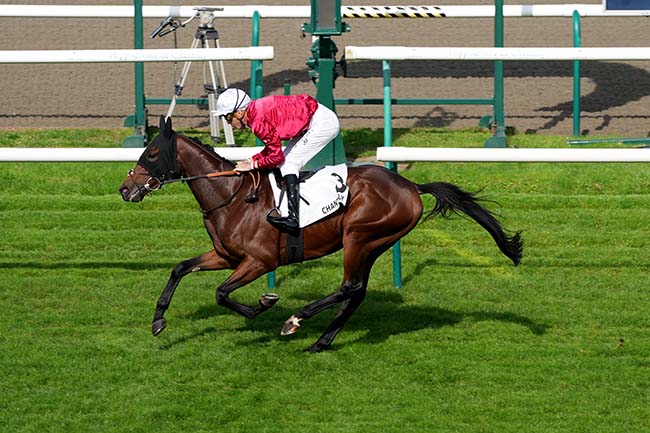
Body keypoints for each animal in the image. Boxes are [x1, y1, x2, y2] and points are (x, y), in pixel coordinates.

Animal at [117, 117, 520, 352]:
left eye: (151, 153)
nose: (125, 189)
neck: (230, 196)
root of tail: (410, 185)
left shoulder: (259, 261)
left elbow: (221, 293)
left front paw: (263, 304)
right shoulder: (226, 256)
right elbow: (180, 269)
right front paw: (158, 320)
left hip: (360, 237)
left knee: (349, 287)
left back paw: (297, 321)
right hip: (374, 244)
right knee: (356, 292)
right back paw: (322, 340)